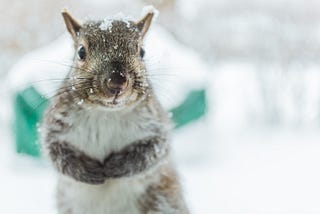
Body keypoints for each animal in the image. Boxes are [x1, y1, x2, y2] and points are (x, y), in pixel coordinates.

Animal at [41, 7, 189, 214]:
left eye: (142, 51)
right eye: (81, 52)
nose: (117, 81)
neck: (106, 113)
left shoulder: (156, 123)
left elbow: (154, 151)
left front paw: (115, 166)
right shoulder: (56, 126)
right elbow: (56, 153)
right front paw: (90, 171)